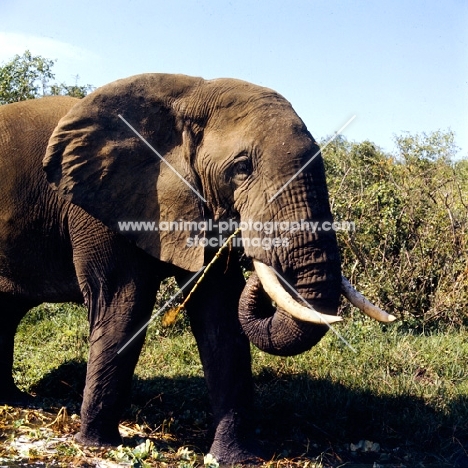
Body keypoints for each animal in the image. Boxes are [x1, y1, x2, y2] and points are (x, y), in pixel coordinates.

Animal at [0, 74, 394, 464]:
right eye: (241, 168)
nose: (255, 250)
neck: (188, 94)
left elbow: (220, 314)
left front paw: (235, 457)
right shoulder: (101, 208)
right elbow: (123, 307)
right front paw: (97, 445)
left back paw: (17, 400)